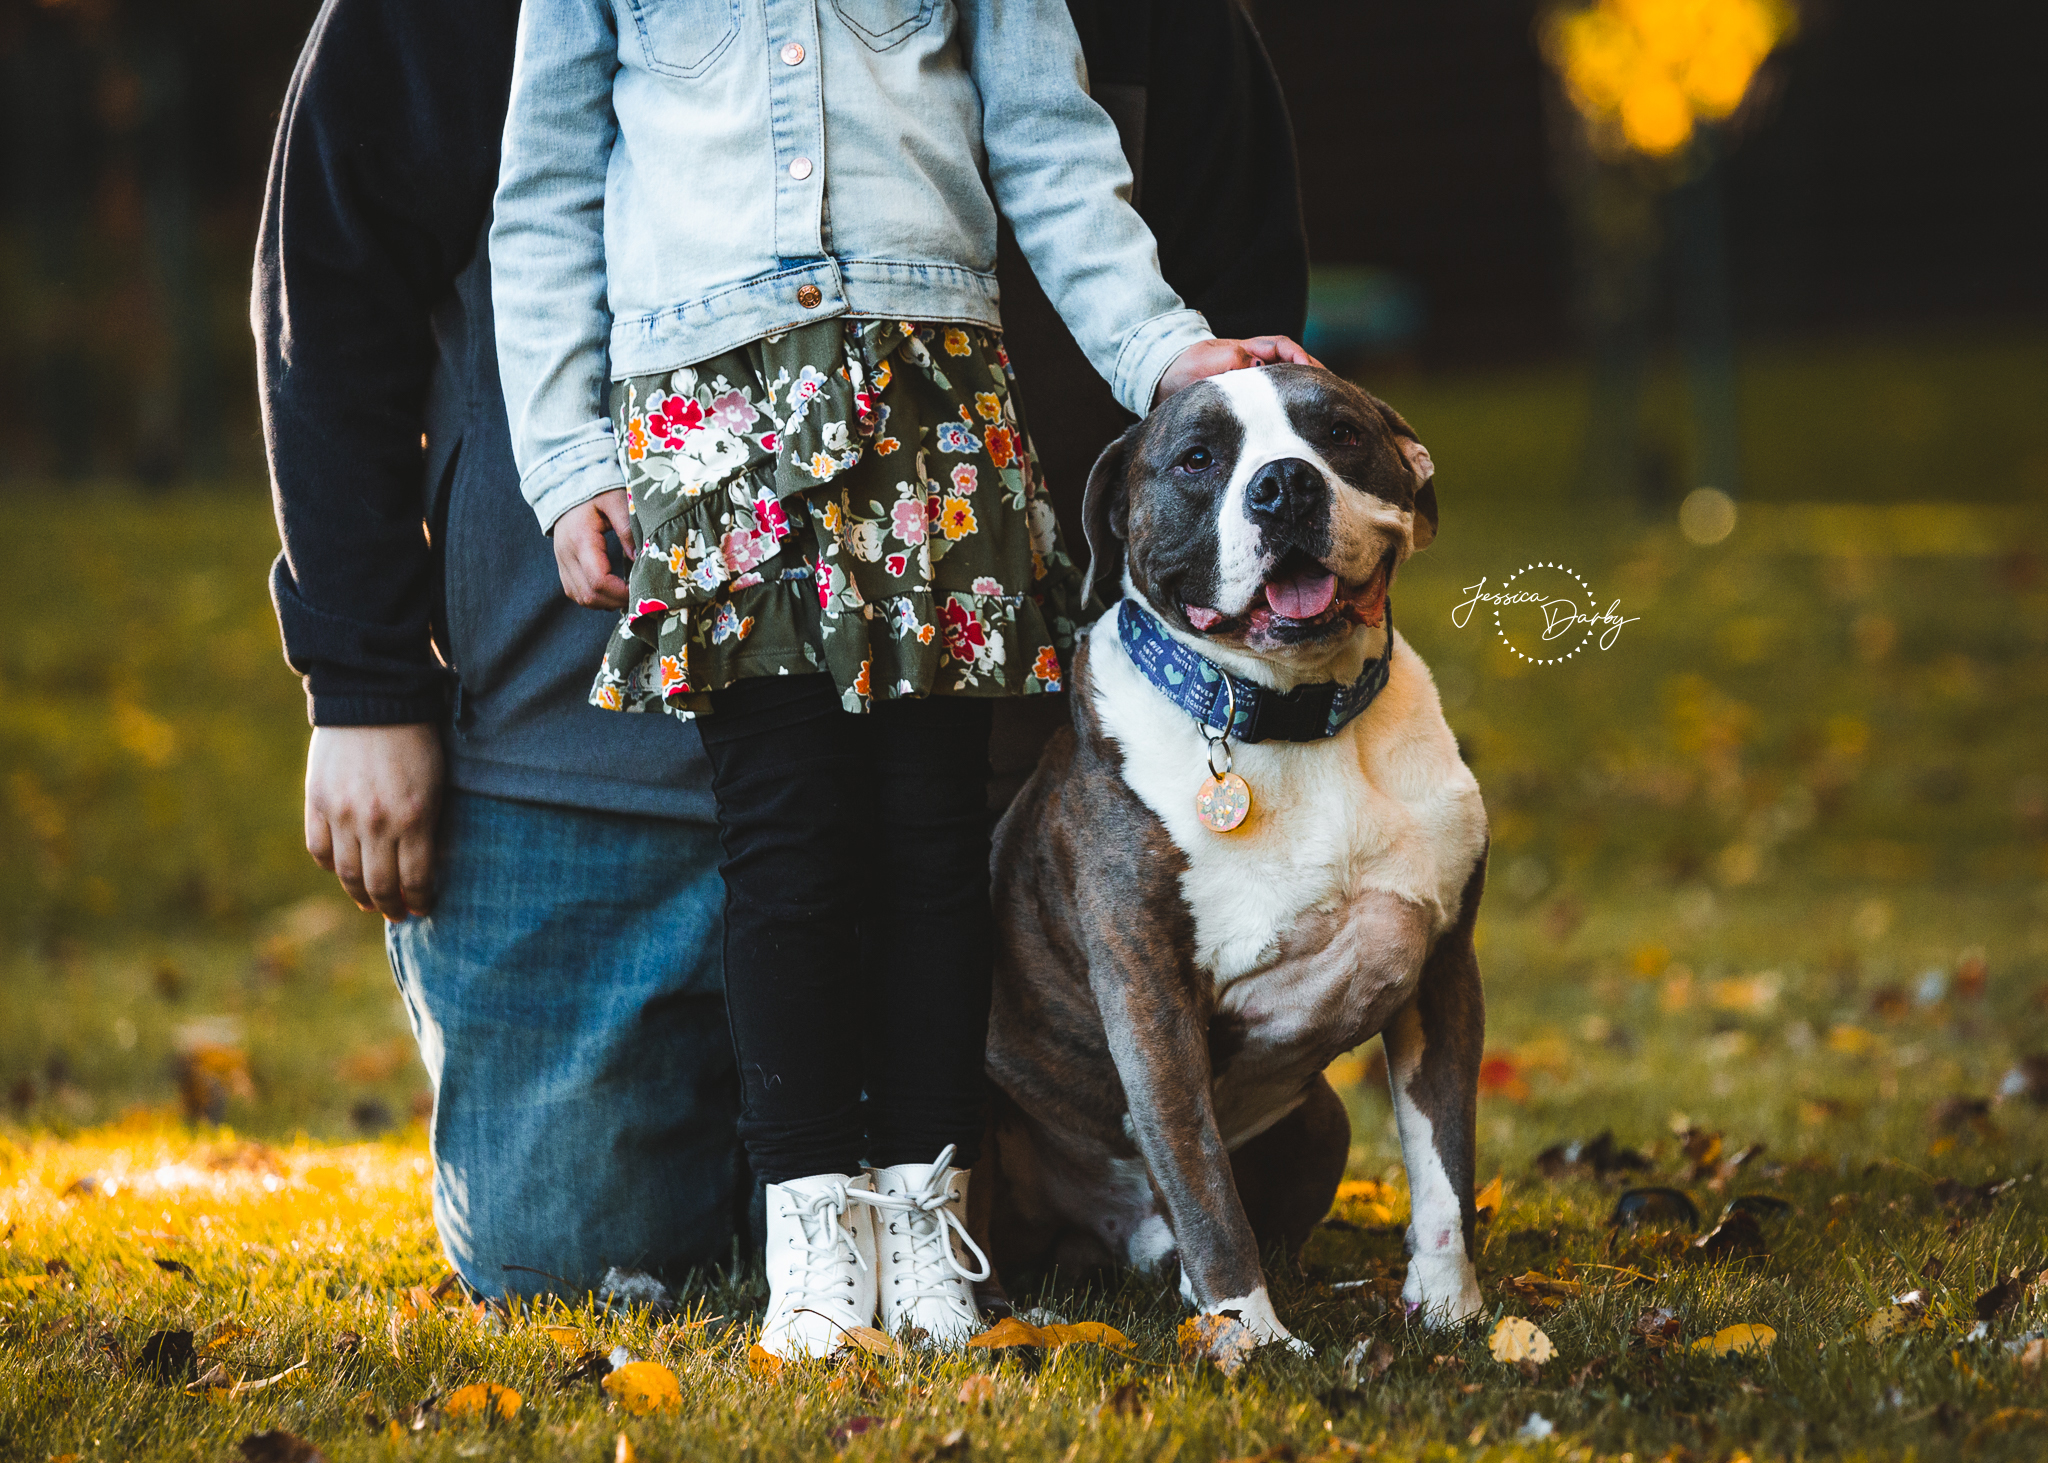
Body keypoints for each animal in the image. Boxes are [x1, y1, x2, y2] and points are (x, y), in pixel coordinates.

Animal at [974, 362, 1490, 1344]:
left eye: (1340, 433)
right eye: (1197, 458)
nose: (1284, 485)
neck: (1298, 721)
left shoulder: (1443, 973)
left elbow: (1444, 1164)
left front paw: (1455, 1311)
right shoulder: (1151, 999)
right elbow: (1203, 1180)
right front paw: (1254, 1338)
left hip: (1324, 1121)